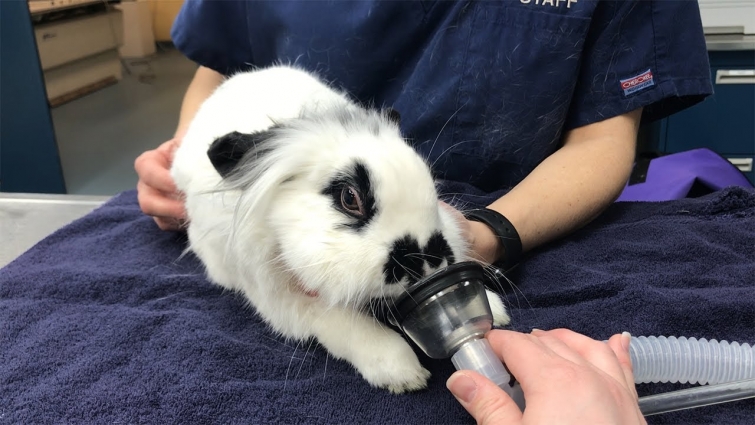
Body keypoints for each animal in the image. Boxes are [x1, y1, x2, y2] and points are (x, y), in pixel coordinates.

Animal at [170, 64, 510, 394]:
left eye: (430, 183)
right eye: (349, 198)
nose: (427, 260)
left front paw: (494, 308)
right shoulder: (283, 299)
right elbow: (343, 322)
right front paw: (403, 373)